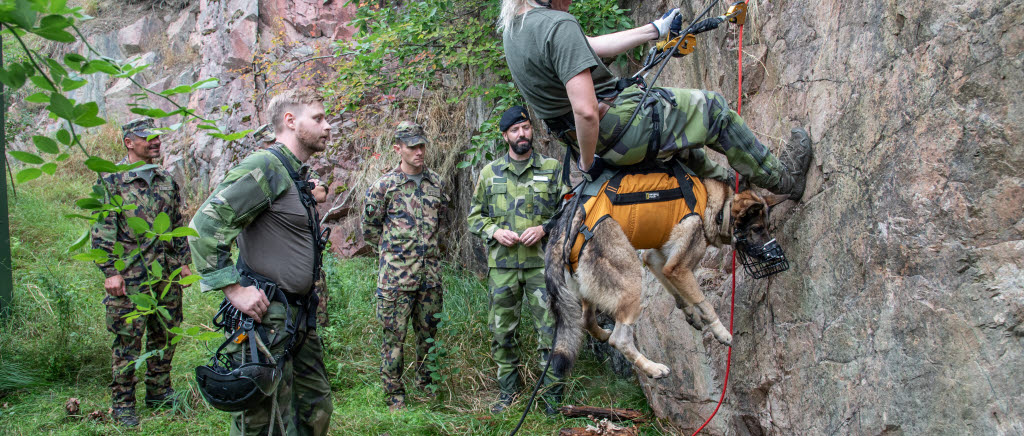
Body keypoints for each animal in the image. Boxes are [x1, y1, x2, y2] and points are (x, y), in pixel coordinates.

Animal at [548, 177, 786, 378]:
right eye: (757, 228)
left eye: (766, 227)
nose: (774, 256)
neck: (716, 208)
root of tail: (567, 224)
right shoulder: (679, 268)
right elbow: (704, 303)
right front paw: (721, 332)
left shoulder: (658, 261)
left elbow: (679, 293)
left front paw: (690, 313)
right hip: (634, 283)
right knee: (620, 339)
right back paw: (652, 368)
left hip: (588, 292)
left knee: (586, 320)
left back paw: (603, 334)